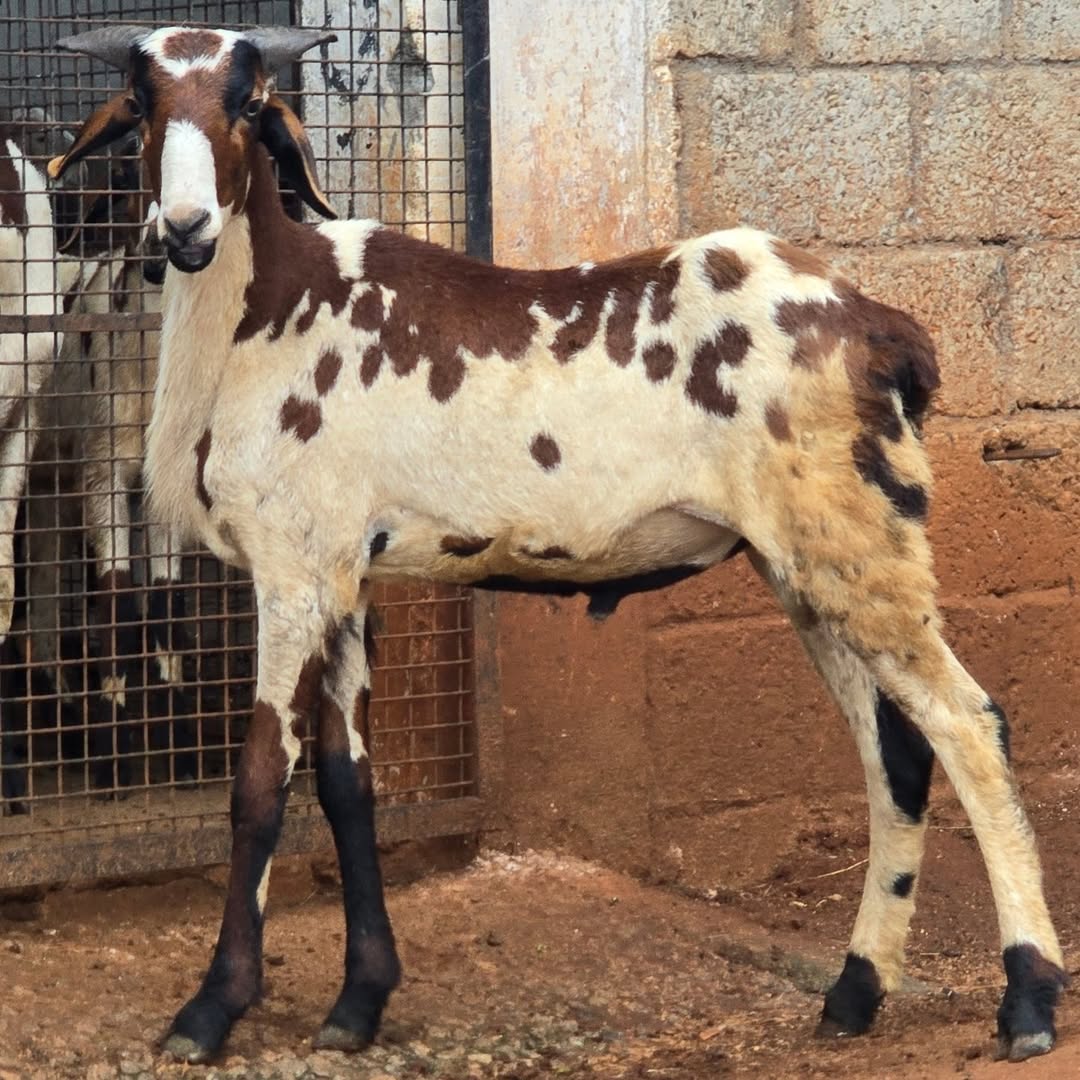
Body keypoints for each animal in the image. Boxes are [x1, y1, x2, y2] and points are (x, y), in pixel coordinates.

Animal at [51, 25, 1066, 1065]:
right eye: (141, 102)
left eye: (250, 104)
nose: (184, 229)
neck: (264, 315)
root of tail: (884, 330)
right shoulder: (343, 571)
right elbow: (346, 783)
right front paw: (359, 1001)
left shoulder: (293, 573)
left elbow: (260, 783)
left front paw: (211, 1008)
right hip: (807, 561)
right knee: (894, 753)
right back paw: (856, 993)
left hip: (858, 538)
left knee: (971, 726)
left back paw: (1027, 1001)